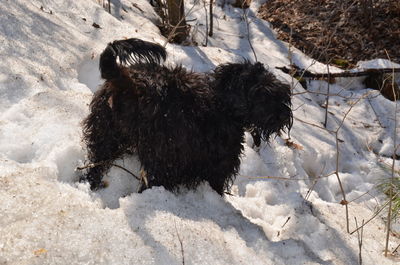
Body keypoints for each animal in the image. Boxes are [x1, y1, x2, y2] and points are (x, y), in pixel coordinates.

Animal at [82, 37, 294, 194]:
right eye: (264, 93)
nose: (285, 113)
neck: (222, 104)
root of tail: (127, 82)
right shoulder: (219, 167)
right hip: (162, 156)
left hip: (105, 135)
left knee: (95, 167)